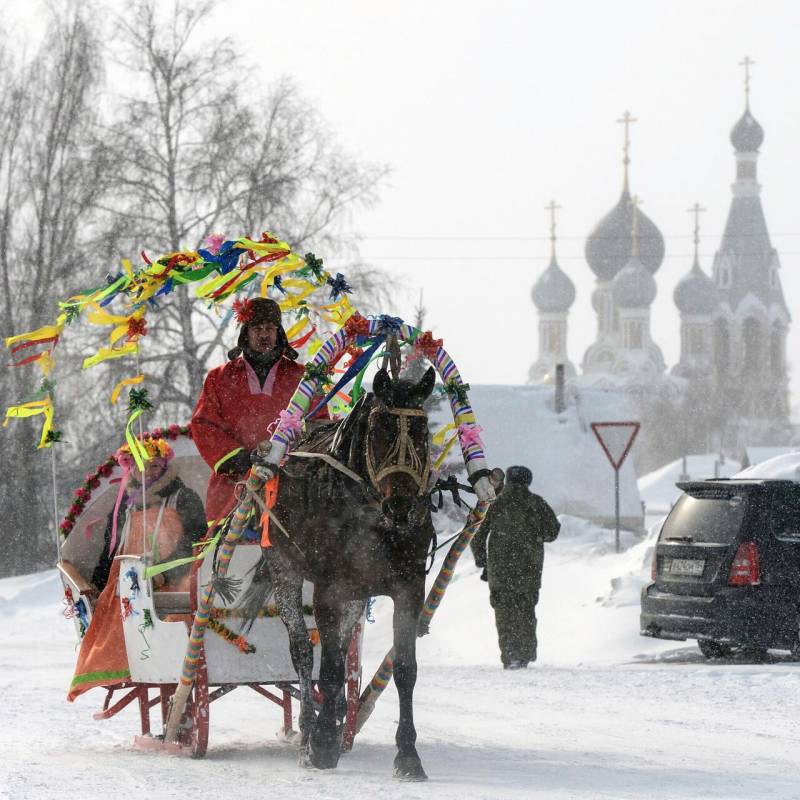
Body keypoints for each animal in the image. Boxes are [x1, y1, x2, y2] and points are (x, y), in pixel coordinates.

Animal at [239, 366, 438, 780]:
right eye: (380, 430)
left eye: (422, 432)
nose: (401, 506)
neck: (372, 517)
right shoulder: (330, 589)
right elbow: (327, 667)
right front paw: (323, 745)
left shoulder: (408, 588)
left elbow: (404, 669)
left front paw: (407, 755)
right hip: (285, 569)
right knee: (302, 651)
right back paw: (309, 734)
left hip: (357, 592)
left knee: (343, 648)